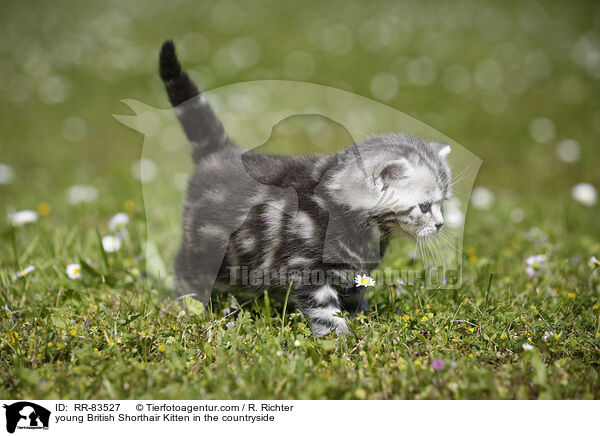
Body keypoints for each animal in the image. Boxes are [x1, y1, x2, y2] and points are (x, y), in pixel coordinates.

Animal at [159, 41, 450, 338]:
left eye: (443, 203)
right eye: (424, 207)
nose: (440, 224)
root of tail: (219, 153)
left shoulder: (353, 274)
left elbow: (353, 298)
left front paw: (362, 321)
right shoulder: (307, 269)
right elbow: (325, 311)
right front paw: (340, 340)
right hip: (205, 249)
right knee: (186, 273)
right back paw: (186, 308)